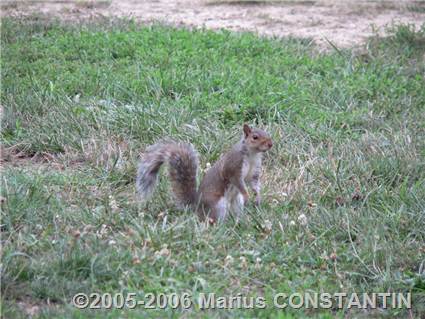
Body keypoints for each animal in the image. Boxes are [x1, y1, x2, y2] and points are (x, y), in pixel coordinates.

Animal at [137, 124, 274, 222]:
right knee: (213, 219)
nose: (270, 144)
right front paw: (247, 195)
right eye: (255, 137)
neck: (252, 155)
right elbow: (239, 182)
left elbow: (254, 183)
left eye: (267, 133)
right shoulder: (233, 168)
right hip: (218, 205)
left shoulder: (254, 172)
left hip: (236, 202)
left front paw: (257, 197)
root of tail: (196, 206)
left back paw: (239, 221)